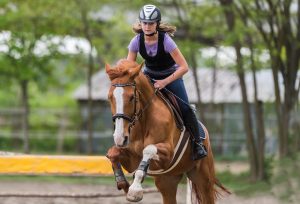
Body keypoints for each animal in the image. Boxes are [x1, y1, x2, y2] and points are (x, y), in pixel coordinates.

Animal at [105, 59, 227, 204]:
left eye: (131, 97)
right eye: (109, 97)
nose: (119, 138)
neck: (143, 121)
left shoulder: (168, 154)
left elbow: (149, 149)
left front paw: (135, 190)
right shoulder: (132, 160)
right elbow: (113, 153)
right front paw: (123, 184)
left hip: (203, 178)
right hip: (167, 182)